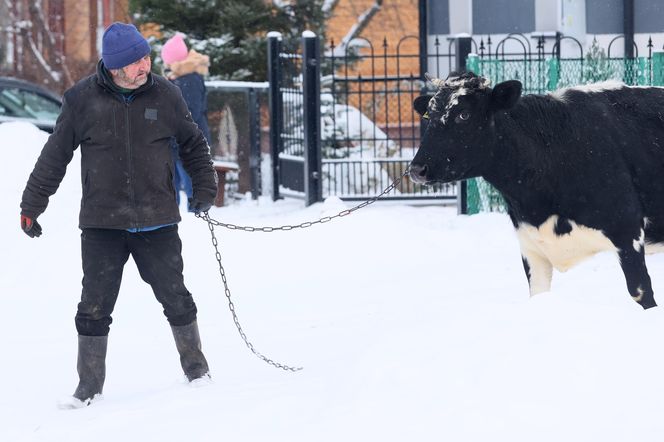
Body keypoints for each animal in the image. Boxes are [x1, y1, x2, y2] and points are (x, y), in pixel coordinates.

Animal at [408, 71, 664, 310]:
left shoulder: (628, 230)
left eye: (464, 114)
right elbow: (538, 295)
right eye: (429, 115)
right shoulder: (531, 245)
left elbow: (642, 293)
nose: (417, 168)